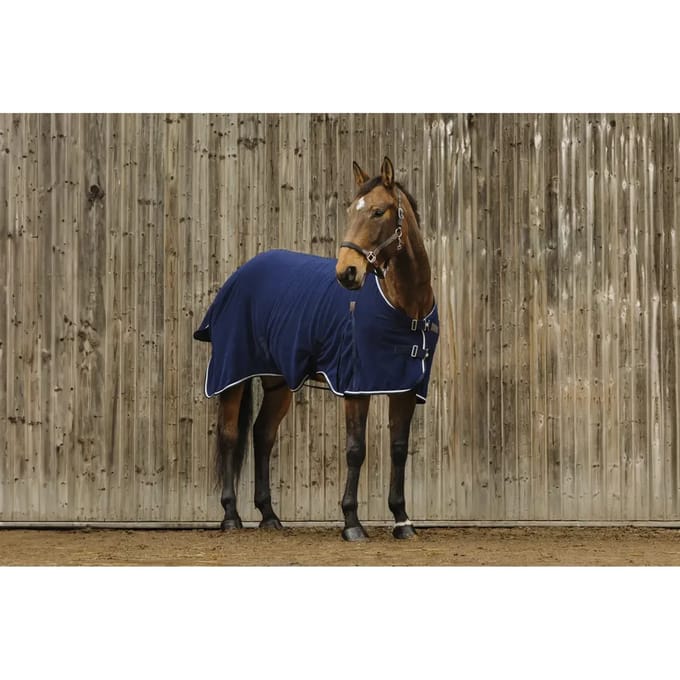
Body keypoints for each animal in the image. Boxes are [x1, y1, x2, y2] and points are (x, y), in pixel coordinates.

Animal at [193, 157, 438, 540]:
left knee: (263, 435)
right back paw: (231, 516)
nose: (347, 272)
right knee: (230, 436)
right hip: (233, 373)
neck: (406, 307)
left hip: (278, 381)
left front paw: (402, 521)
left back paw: (269, 516)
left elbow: (399, 450)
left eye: (378, 212)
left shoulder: (405, 387)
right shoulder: (356, 386)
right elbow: (356, 449)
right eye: (350, 210)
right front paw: (352, 522)